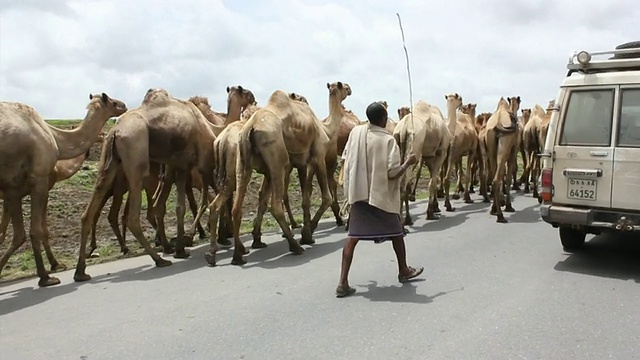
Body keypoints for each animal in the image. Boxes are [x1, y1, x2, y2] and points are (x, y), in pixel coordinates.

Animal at [0, 93, 127, 286]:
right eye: (112, 102)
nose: (124, 105)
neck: (55, 138)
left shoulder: (12, 189)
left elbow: (16, 233)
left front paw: (54, 266)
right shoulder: (39, 180)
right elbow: (36, 230)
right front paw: (46, 276)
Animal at [73, 88, 220, 282]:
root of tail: (115, 133)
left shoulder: (181, 166)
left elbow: (181, 207)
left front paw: (181, 249)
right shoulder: (203, 162)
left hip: (108, 165)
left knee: (88, 213)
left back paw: (80, 272)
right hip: (136, 161)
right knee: (132, 218)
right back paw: (159, 259)